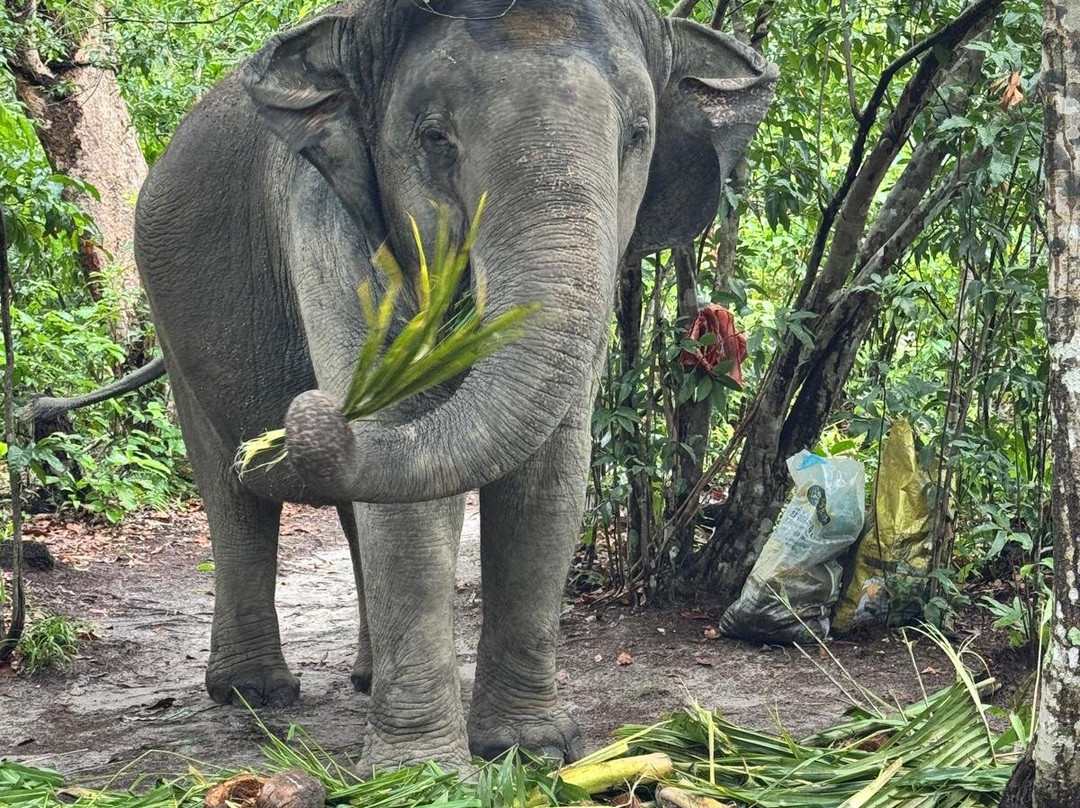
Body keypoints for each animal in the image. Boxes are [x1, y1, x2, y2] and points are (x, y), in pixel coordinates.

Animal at [122, 0, 777, 774]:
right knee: (233, 492)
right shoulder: (322, 217)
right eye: (435, 138)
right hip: (167, 314)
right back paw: (255, 692)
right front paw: (422, 774)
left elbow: (549, 470)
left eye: (638, 136)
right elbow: (407, 452)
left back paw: (362, 676)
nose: (305, 416)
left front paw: (531, 750)